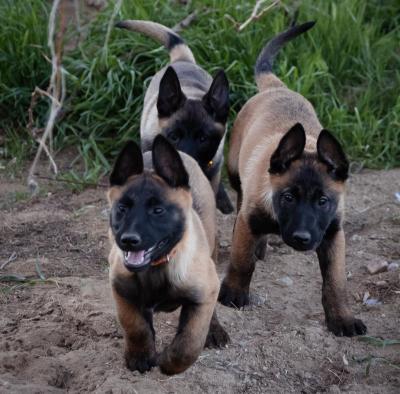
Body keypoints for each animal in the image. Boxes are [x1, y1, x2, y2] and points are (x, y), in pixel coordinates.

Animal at [108, 135, 230, 376]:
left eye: (158, 211)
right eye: (122, 209)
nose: (129, 240)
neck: (156, 268)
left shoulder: (202, 296)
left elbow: (190, 343)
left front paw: (169, 362)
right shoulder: (120, 289)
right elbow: (134, 325)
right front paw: (140, 356)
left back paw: (214, 330)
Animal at [217, 21, 368, 338]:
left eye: (323, 201)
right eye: (287, 197)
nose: (301, 238)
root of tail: (277, 87)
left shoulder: (333, 235)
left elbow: (335, 283)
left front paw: (342, 319)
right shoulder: (250, 219)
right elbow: (241, 260)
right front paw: (234, 293)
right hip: (235, 173)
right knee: (239, 205)